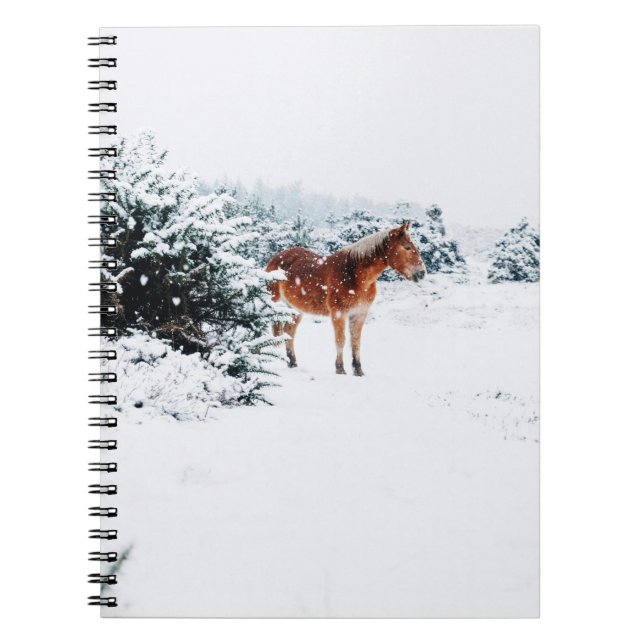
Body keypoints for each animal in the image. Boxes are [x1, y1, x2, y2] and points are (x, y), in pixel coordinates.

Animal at [266, 221, 426, 376]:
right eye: (407, 247)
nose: (422, 273)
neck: (355, 275)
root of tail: (275, 259)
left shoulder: (360, 314)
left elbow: (355, 342)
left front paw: (358, 370)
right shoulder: (339, 313)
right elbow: (340, 340)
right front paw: (340, 369)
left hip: (295, 309)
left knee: (289, 333)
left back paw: (292, 362)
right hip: (272, 304)